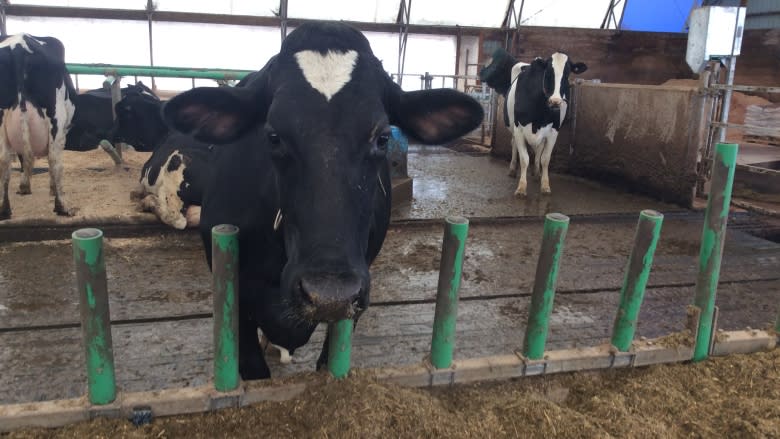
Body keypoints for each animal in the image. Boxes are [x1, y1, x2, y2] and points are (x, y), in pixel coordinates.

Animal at [0, 33, 77, 220]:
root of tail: (19, 44)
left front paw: (24, 186)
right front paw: (51, 189)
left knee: (4, 161)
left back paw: (4, 210)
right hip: (56, 118)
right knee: (55, 160)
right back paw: (62, 207)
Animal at [478, 47, 588, 196]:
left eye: (567, 74)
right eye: (548, 73)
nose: (555, 101)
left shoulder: (554, 131)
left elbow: (545, 159)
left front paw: (545, 185)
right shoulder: (519, 129)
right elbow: (524, 159)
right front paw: (521, 187)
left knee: (539, 150)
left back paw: (536, 173)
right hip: (513, 128)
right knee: (514, 144)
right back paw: (512, 169)